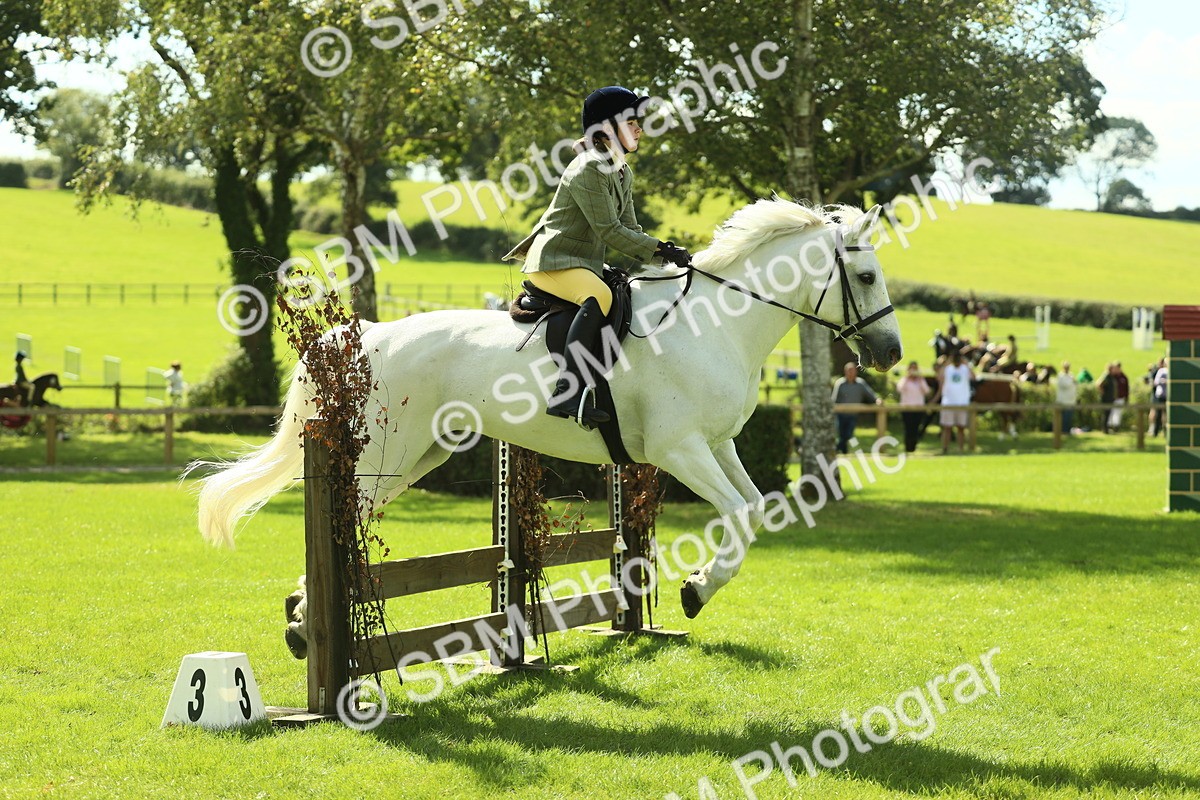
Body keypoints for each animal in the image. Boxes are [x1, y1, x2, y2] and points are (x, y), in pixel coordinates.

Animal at [193, 200, 903, 620]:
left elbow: (752, 508)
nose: (891, 354)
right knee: (344, 517)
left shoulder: (719, 444)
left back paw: (303, 612)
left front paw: (697, 587)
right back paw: (306, 618)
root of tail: (365, 337)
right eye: (867, 277)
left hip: (418, 456)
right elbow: (735, 512)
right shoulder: (679, 449)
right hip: (386, 455)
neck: (716, 323)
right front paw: (696, 589)